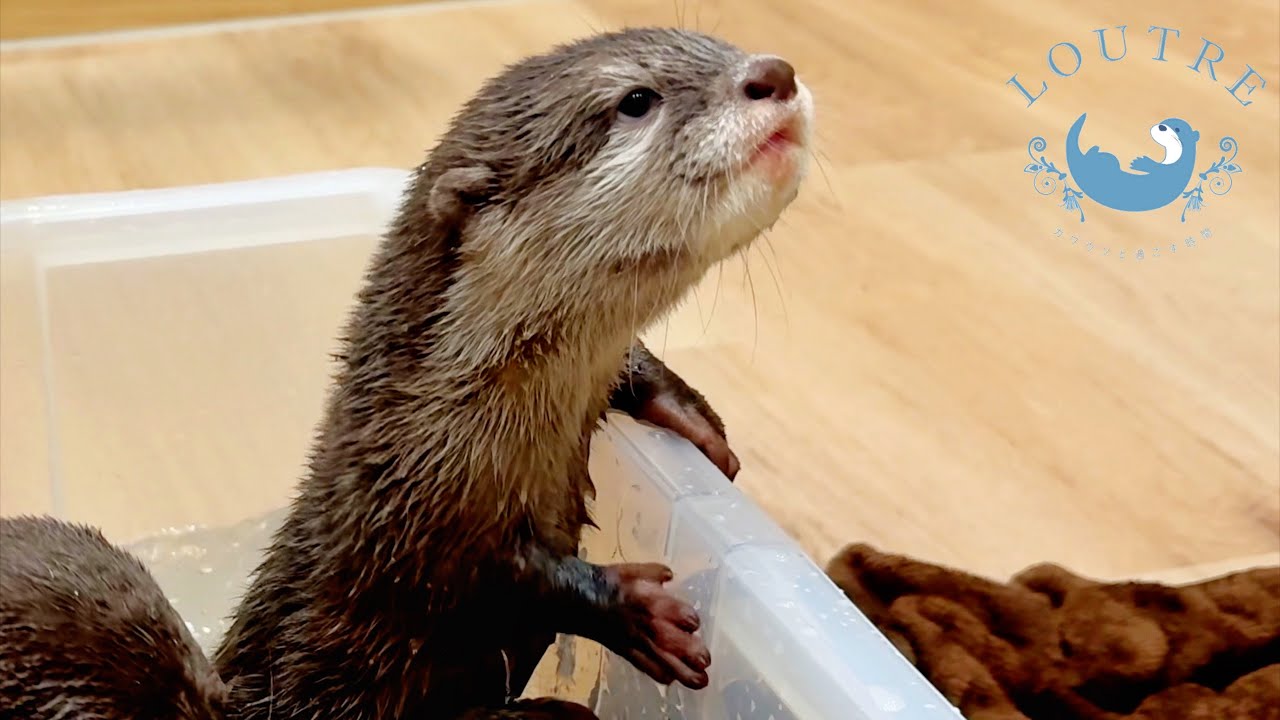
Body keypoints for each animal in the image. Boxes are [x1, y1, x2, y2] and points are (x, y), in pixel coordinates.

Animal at [211, 27, 813, 719]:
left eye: (717, 43)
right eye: (636, 100)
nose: (774, 73)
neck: (437, 418)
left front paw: (692, 417)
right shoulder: (408, 521)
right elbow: (493, 581)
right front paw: (636, 611)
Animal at [1064, 112, 1200, 213]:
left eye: (1178, 129)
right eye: (1163, 122)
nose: (1161, 126)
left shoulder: (1169, 172)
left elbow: (1156, 167)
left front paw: (1140, 162)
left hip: (1109, 160)